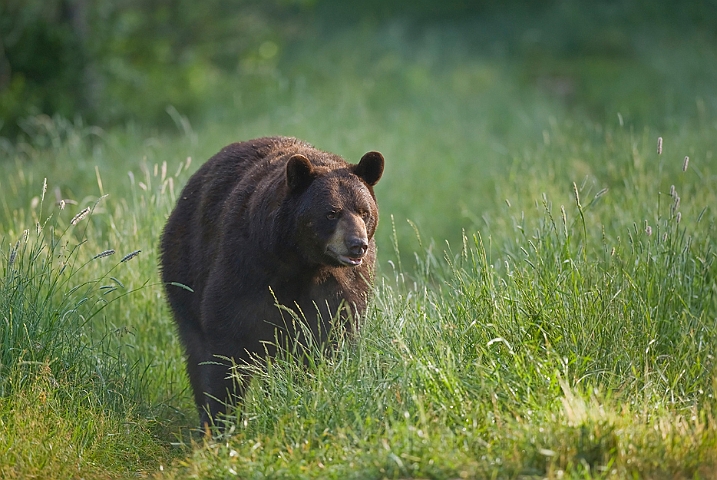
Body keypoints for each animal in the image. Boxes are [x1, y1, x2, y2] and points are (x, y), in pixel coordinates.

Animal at [159, 136, 384, 428]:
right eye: (331, 213)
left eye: (364, 211)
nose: (357, 245)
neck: (301, 262)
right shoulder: (247, 264)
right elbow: (227, 338)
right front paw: (223, 417)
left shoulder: (341, 285)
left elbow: (330, 336)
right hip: (184, 264)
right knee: (196, 345)